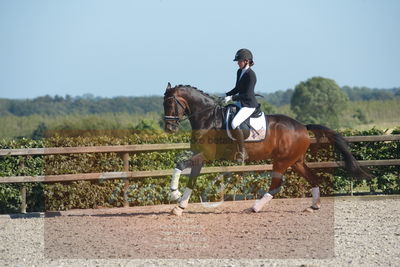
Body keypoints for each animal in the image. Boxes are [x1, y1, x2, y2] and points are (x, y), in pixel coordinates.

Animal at [162, 82, 368, 217]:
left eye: (170, 103)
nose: (169, 129)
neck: (208, 118)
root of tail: (302, 126)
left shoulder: (206, 155)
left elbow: (180, 165)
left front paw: (174, 193)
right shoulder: (200, 156)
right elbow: (191, 178)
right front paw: (179, 206)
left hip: (282, 161)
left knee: (276, 185)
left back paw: (254, 208)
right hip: (296, 161)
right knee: (313, 178)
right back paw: (313, 206)